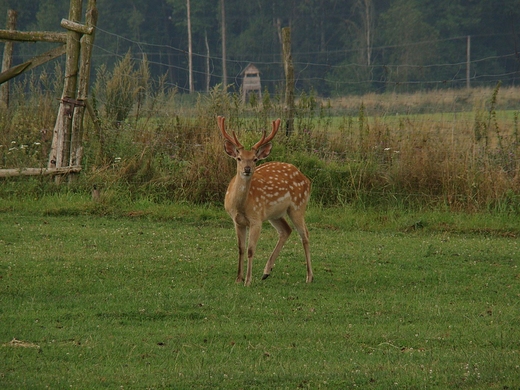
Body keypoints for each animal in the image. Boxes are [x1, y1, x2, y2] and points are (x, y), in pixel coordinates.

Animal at [216, 116, 312, 286]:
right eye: (239, 158)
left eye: (254, 159)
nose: (247, 169)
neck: (241, 206)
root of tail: (306, 179)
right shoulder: (237, 221)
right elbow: (241, 248)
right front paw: (238, 278)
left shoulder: (256, 219)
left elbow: (250, 250)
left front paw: (247, 281)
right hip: (275, 214)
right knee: (286, 230)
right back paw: (266, 272)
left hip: (298, 206)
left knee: (305, 235)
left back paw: (309, 277)